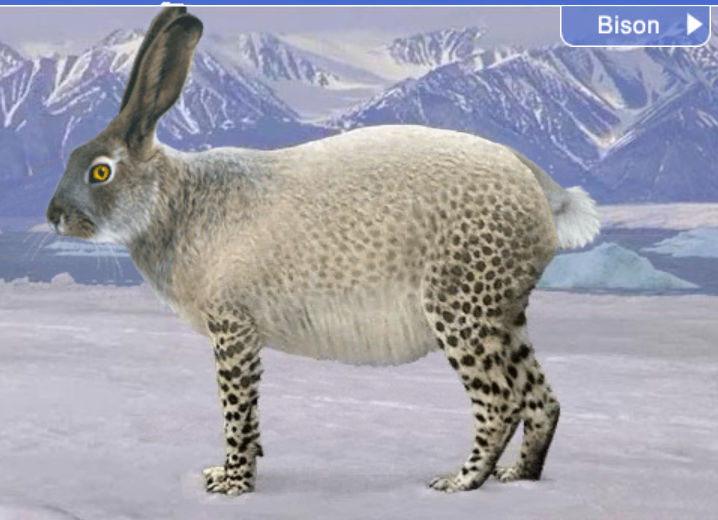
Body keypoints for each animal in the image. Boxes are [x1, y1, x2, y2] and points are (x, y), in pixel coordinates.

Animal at [46, 6, 600, 495]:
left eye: (100, 171)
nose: (53, 214)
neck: (175, 202)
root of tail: (538, 186)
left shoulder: (233, 330)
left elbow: (235, 411)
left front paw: (232, 484)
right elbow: (251, 417)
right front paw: (232, 472)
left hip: (461, 310)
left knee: (502, 402)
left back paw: (460, 482)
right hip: (506, 315)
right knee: (543, 399)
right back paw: (519, 477)